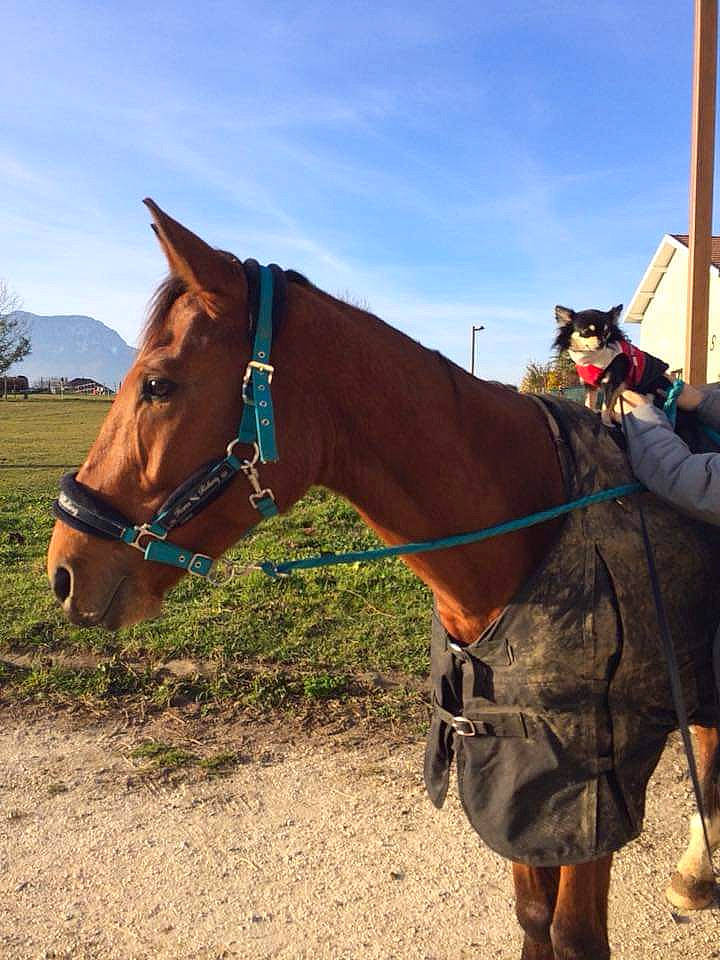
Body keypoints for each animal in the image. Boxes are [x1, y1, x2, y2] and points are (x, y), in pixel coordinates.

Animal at [47, 201, 720, 960]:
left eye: (158, 384)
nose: (65, 569)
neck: (538, 510)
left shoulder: (588, 786)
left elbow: (574, 934)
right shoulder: (519, 780)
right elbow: (533, 918)